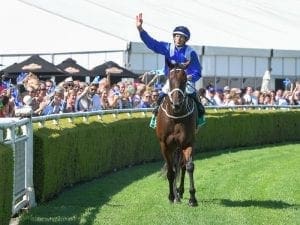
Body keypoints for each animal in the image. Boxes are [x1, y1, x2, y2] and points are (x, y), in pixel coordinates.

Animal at [156, 61, 198, 206]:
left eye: (185, 80)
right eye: (170, 78)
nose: (176, 104)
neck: (176, 116)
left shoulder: (188, 142)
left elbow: (189, 166)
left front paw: (192, 198)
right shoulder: (164, 145)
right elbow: (170, 172)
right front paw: (170, 196)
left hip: (179, 146)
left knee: (182, 166)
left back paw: (180, 192)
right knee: (174, 167)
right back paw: (175, 195)